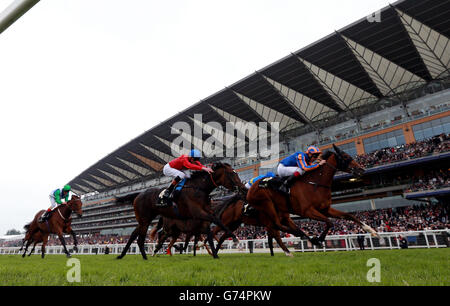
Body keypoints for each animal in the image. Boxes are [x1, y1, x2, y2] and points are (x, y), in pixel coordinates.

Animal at [116, 161, 246, 260]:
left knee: (134, 235)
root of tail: (138, 194)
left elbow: (214, 226)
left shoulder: (205, 216)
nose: (244, 188)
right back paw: (145, 256)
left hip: (145, 220)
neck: (198, 188)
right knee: (141, 238)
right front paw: (234, 237)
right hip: (145, 219)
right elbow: (215, 222)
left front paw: (216, 252)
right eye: (231, 173)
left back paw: (122, 255)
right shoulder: (198, 213)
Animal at [246, 145, 380, 256]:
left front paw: (372, 231)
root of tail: (250, 188)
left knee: (277, 227)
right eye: (346, 156)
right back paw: (302, 236)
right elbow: (329, 222)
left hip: (277, 210)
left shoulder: (325, 209)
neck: (315, 183)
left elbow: (348, 216)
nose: (361, 170)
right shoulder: (307, 211)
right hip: (267, 205)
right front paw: (319, 239)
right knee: (277, 225)